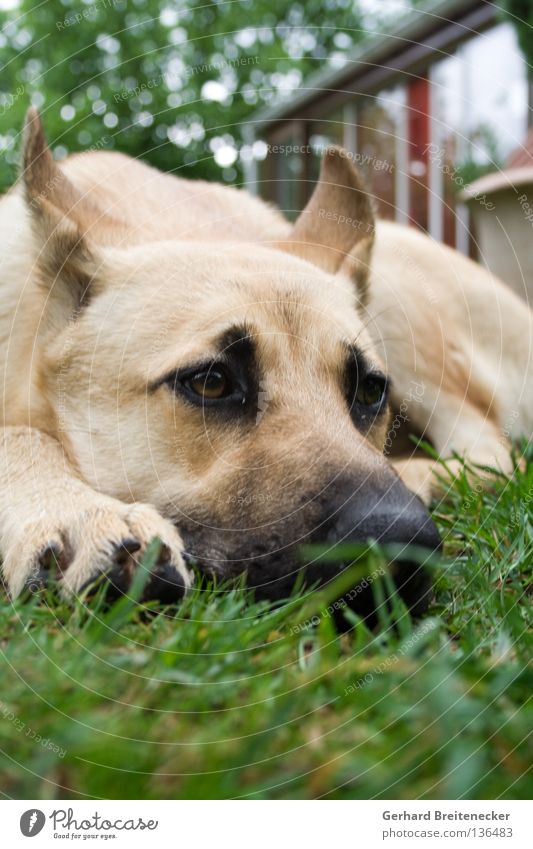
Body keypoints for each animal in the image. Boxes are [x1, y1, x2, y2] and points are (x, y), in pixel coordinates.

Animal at [0, 106, 528, 612]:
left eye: (369, 391)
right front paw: (77, 509)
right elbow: (19, 434)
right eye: (211, 382)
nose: (401, 541)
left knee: (492, 452)